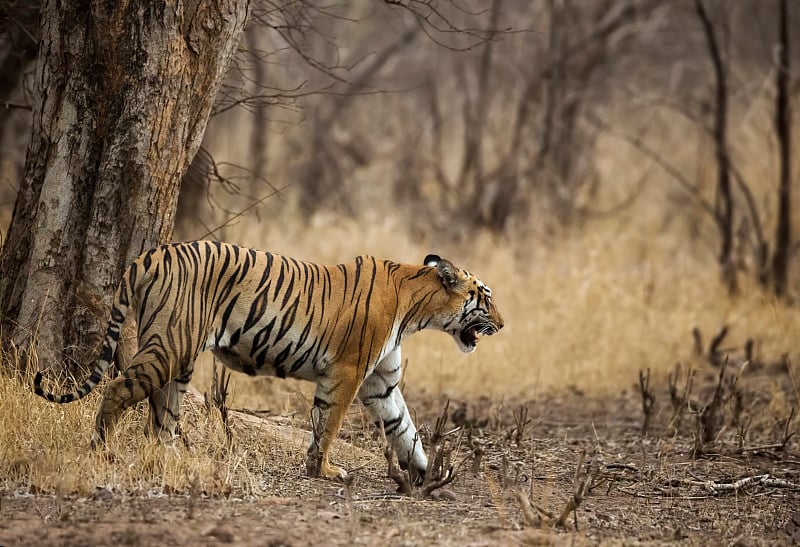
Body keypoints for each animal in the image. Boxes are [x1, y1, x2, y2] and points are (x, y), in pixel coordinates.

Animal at [34, 242, 504, 482]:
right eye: (486, 296)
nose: (502, 324)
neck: (415, 307)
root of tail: (147, 255)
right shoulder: (349, 372)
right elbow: (329, 423)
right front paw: (326, 470)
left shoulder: (381, 380)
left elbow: (404, 427)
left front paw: (428, 472)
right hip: (170, 345)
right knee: (117, 390)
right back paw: (101, 451)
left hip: (178, 358)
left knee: (163, 413)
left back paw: (172, 459)